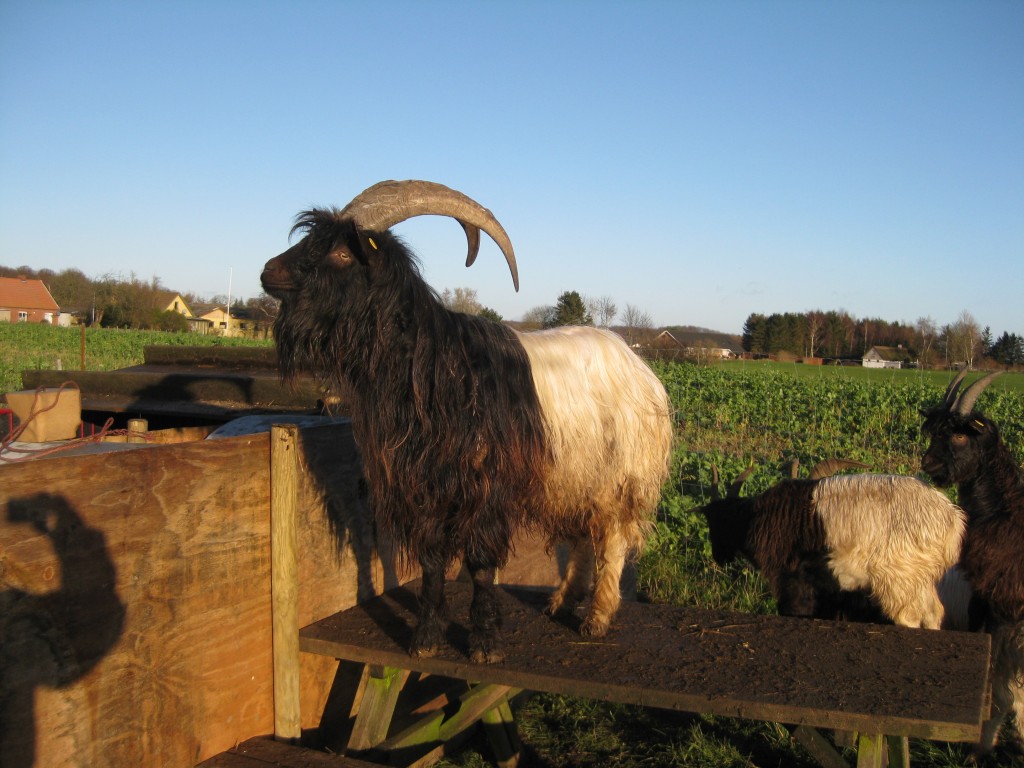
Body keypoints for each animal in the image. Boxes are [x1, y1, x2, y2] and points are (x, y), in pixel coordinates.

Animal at [262, 179, 671, 663]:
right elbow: (433, 562)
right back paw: (562, 601)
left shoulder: (484, 489)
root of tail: (639, 365)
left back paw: (597, 617)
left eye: (343, 253)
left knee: (612, 538)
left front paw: (485, 642)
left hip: (618, 473)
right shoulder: (423, 489)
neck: (434, 364)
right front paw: (425, 638)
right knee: (583, 534)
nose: (268, 272)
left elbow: (479, 565)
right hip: (573, 475)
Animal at [700, 462, 962, 630]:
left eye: (720, 521)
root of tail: (952, 522)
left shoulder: (793, 578)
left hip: (899, 579)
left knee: (909, 617)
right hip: (919, 579)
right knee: (933, 614)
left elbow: (795, 609)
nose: (719, 556)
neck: (756, 516)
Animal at [921, 372, 1024, 757]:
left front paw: (982, 745)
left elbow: (1001, 691)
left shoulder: (998, 612)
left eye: (961, 435)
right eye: (934, 431)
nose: (928, 464)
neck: (1002, 510)